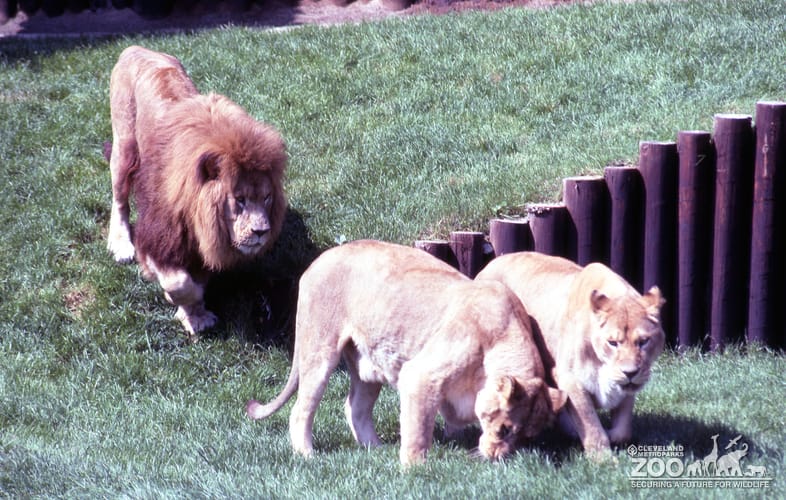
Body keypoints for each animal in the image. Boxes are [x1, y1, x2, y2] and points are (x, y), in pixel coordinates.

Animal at [106, 45, 287, 337]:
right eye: (240, 200)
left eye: (267, 197)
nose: (261, 232)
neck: (198, 217)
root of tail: (136, 48)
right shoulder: (157, 237)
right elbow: (179, 282)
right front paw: (183, 307)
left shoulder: (201, 246)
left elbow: (197, 283)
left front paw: (194, 314)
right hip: (124, 147)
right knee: (119, 200)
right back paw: (121, 244)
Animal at [246, 240, 566, 466]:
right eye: (503, 430)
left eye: (526, 437)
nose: (498, 459)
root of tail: (314, 263)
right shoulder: (421, 376)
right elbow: (418, 428)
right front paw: (414, 469)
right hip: (319, 351)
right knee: (301, 409)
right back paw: (307, 455)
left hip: (367, 367)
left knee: (355, 408)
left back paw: (375, 450)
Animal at [476, 252, 665, 456]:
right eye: (612, 343)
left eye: (643, 341)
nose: (630, 373)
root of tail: (494, 261)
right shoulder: (570, 380)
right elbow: (591, 425)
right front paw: (603, 458)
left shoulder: (627, 387)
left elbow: (623, 430)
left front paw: (613, 436)